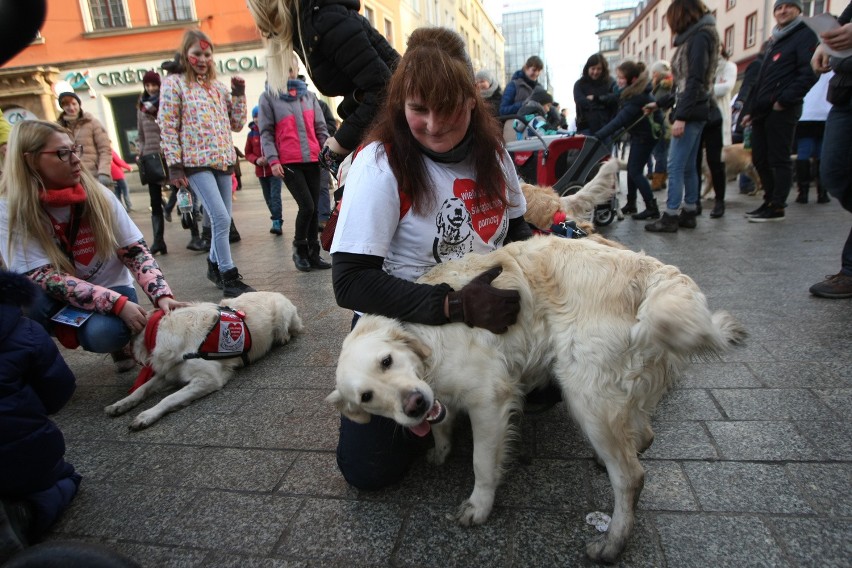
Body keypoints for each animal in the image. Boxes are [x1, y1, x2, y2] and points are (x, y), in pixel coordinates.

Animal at [106, 292, 302, 430]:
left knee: (290, 331)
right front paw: (121, 404)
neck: (158, 333)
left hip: (283, 317)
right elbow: (143, 388)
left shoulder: (208, 378)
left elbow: (169, 398)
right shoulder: (170, 373)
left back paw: (283, 338)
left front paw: (147, 415)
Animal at [328, 236, 744, 564]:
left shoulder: (490, 400)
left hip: (586, 396)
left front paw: (479, 506)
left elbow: (482, 463)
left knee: (630, 476)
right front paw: (440, 451)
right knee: (642, 434)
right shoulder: (440, 397)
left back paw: (612, 543)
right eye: (367, 397)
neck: (425, 335)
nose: (413, 404)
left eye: (386, 361)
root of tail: (655, 270)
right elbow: (440, 425)